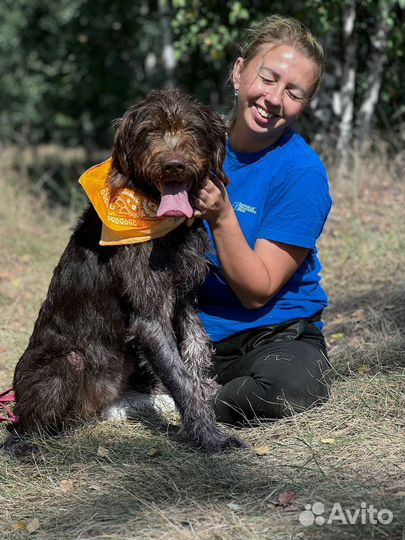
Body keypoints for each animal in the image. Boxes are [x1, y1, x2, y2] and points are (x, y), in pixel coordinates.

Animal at [3, 88, 245, 456]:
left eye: (192, 129)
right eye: (150, 131)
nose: (174, 164)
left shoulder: (183, 297)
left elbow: (196, 348)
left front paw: (204, 396)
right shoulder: (149, 317)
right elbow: (180, 377)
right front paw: (210, 435)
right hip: (65, 362)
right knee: (22, 428)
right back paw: (27, 441)